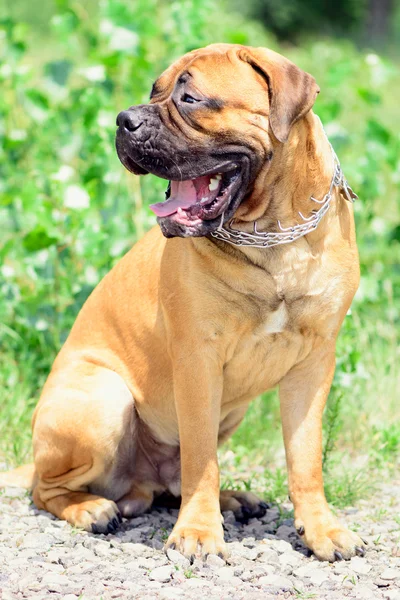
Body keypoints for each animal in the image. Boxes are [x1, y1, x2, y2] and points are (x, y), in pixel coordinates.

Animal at [1, 43, 368, 564]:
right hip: (104, 399)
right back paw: (92, 509)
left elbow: (305, 458)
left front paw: (322, 530)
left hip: (229, 411)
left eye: (190, 98)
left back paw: (233, 500)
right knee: (45, 489)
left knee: (170, 483)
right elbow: (200, 458)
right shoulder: (197, 359)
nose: (123, 120)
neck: (272, 239)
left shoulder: (314, 363)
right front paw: (197, 533)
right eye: (154, 91)